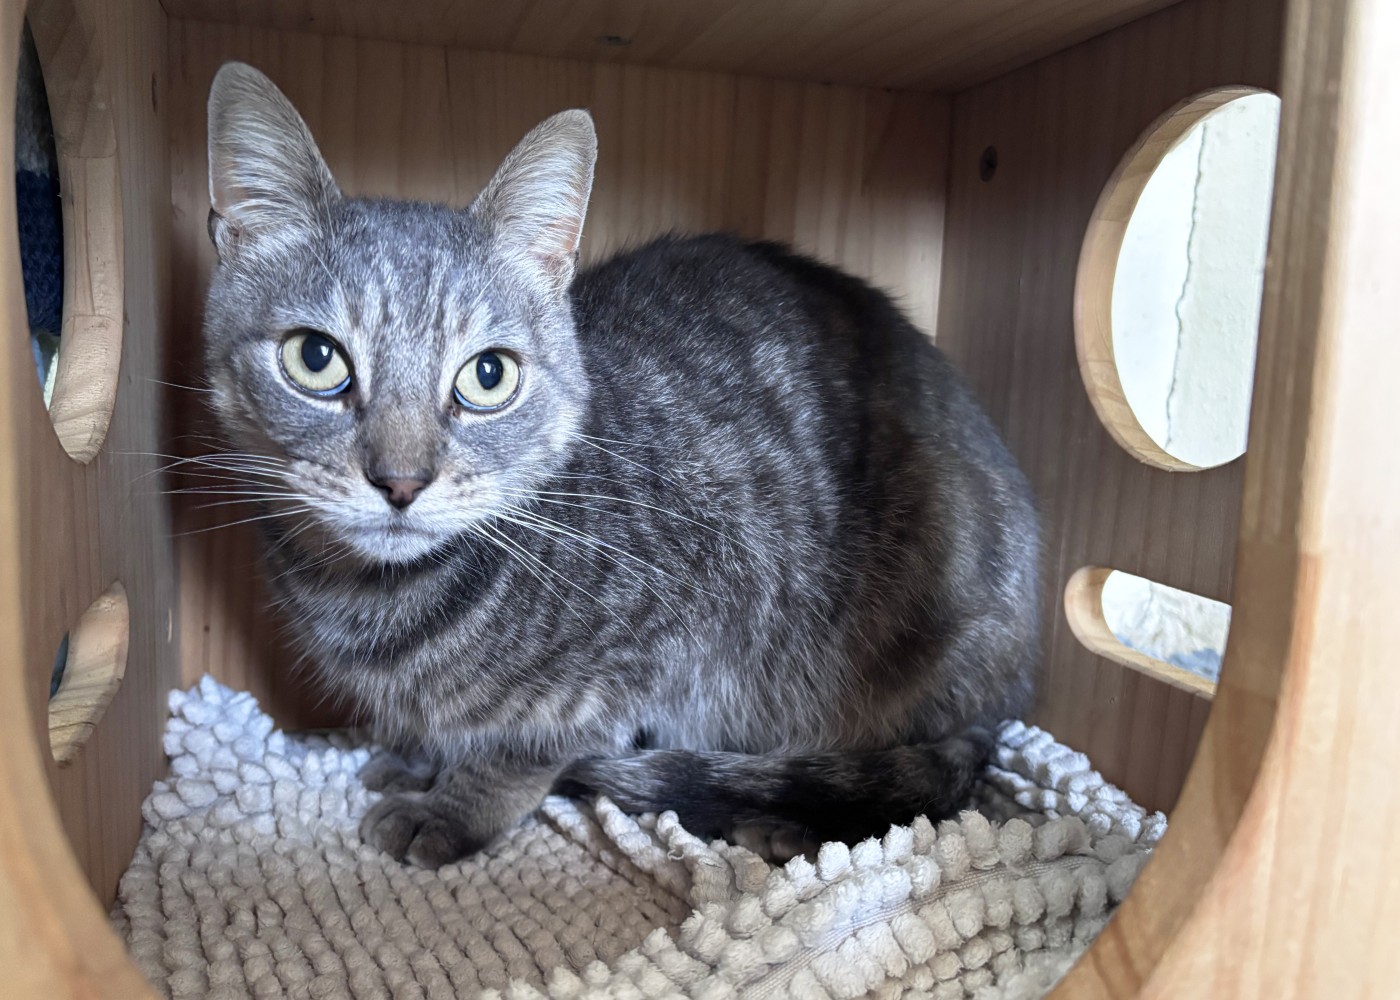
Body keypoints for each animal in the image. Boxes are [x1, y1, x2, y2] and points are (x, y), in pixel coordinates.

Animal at [200, 61, 1042, 867]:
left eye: (488, 376)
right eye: (315, 359)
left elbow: (535, 741)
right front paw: (416, 757)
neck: (377, 602)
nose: (401, 481)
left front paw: (456, 803)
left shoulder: (671, 637)